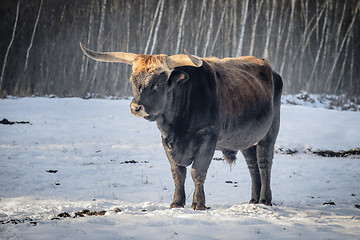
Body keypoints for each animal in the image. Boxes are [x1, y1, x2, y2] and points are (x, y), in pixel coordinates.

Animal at [80, 43, 282, 210]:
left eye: (159, 83)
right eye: (133, 80)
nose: (136, 107)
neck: (178, 125)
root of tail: (270, 69)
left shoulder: (208, 137)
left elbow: (197, 172)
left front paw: (198, 204)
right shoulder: (167, 141)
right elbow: (178, 173)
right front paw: (177, 202)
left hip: (269, 134)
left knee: (264, 164)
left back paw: (265, 199)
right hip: (247, 139)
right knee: (253, 166)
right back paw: (254, 200)